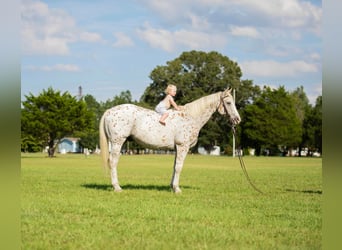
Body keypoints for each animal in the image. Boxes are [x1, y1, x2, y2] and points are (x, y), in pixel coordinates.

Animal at [99, 88, 240, 193]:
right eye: (228, 103)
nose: (237, 119)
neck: (191, 117)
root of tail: (109, 111)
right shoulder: (182, 146)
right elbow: (179, 167)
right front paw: (177, 189)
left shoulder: (177, 148)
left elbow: (174, 167)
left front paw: (172, 186)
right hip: (117, 142)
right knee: (113, 162)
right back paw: (117, 187)